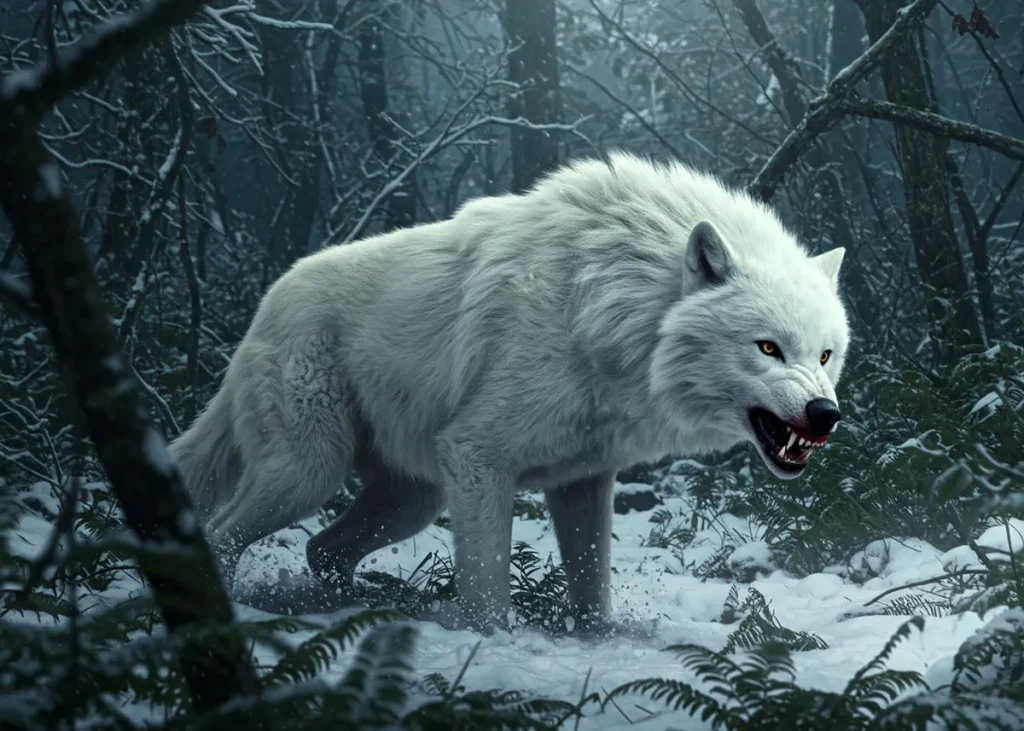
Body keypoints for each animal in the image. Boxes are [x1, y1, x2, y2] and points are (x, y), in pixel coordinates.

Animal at [169, 152, 850, 632]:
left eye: (824, 354)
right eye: (768, 348)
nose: (826, 414)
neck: (605, 309)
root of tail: (267, 302)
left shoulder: (583, 480)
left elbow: (592, 590)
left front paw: (593, 639)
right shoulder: (477, 458)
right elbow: (489, 587)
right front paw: (492, 645)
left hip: (409, 502)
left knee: (322, 549)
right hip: (310, 472)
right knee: (224, 534)